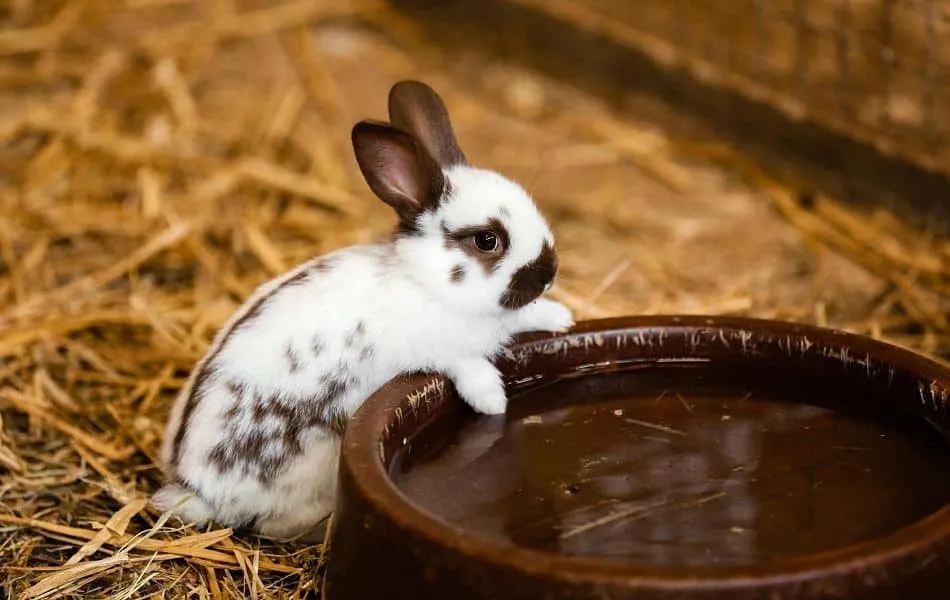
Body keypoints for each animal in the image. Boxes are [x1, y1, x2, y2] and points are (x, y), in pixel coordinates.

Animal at [150, 80, 575, 542]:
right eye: (486, 240)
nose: (548, 273)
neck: (428, 281)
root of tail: (196, 489)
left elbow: (524, 316)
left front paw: (560, 318)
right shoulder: (444, 351)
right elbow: (470, 367)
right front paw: (492, 402)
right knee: (273, 523)